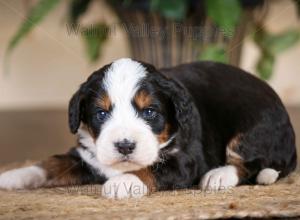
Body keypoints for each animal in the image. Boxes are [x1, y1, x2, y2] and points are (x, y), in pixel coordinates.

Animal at [0, 58, 296, 199]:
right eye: (101, 113)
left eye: (150, 112)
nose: (124, 146)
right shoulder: (84, 155)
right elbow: (49, 164)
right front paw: (14, 176)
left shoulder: (185, 160)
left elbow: (152, 169)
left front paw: (124, 182)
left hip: (252, 126)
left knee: (252, 164)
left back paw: (219, 176)